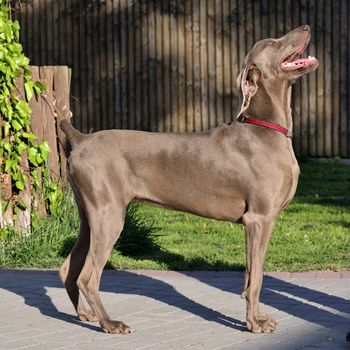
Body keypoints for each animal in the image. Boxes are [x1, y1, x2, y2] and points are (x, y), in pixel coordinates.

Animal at [59, 25, 318, 334]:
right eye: (270, 43)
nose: (305, 27)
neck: (265, 128)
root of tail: (81, 139)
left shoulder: (254, 224)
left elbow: (248, 276)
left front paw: (256, 318)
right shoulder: (258, 219)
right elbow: (256, 279)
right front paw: (254, 323)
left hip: (90, 215)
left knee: (68, 268)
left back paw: (85, 314)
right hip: (109, 215)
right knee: (87, 276)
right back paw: (110, 323)